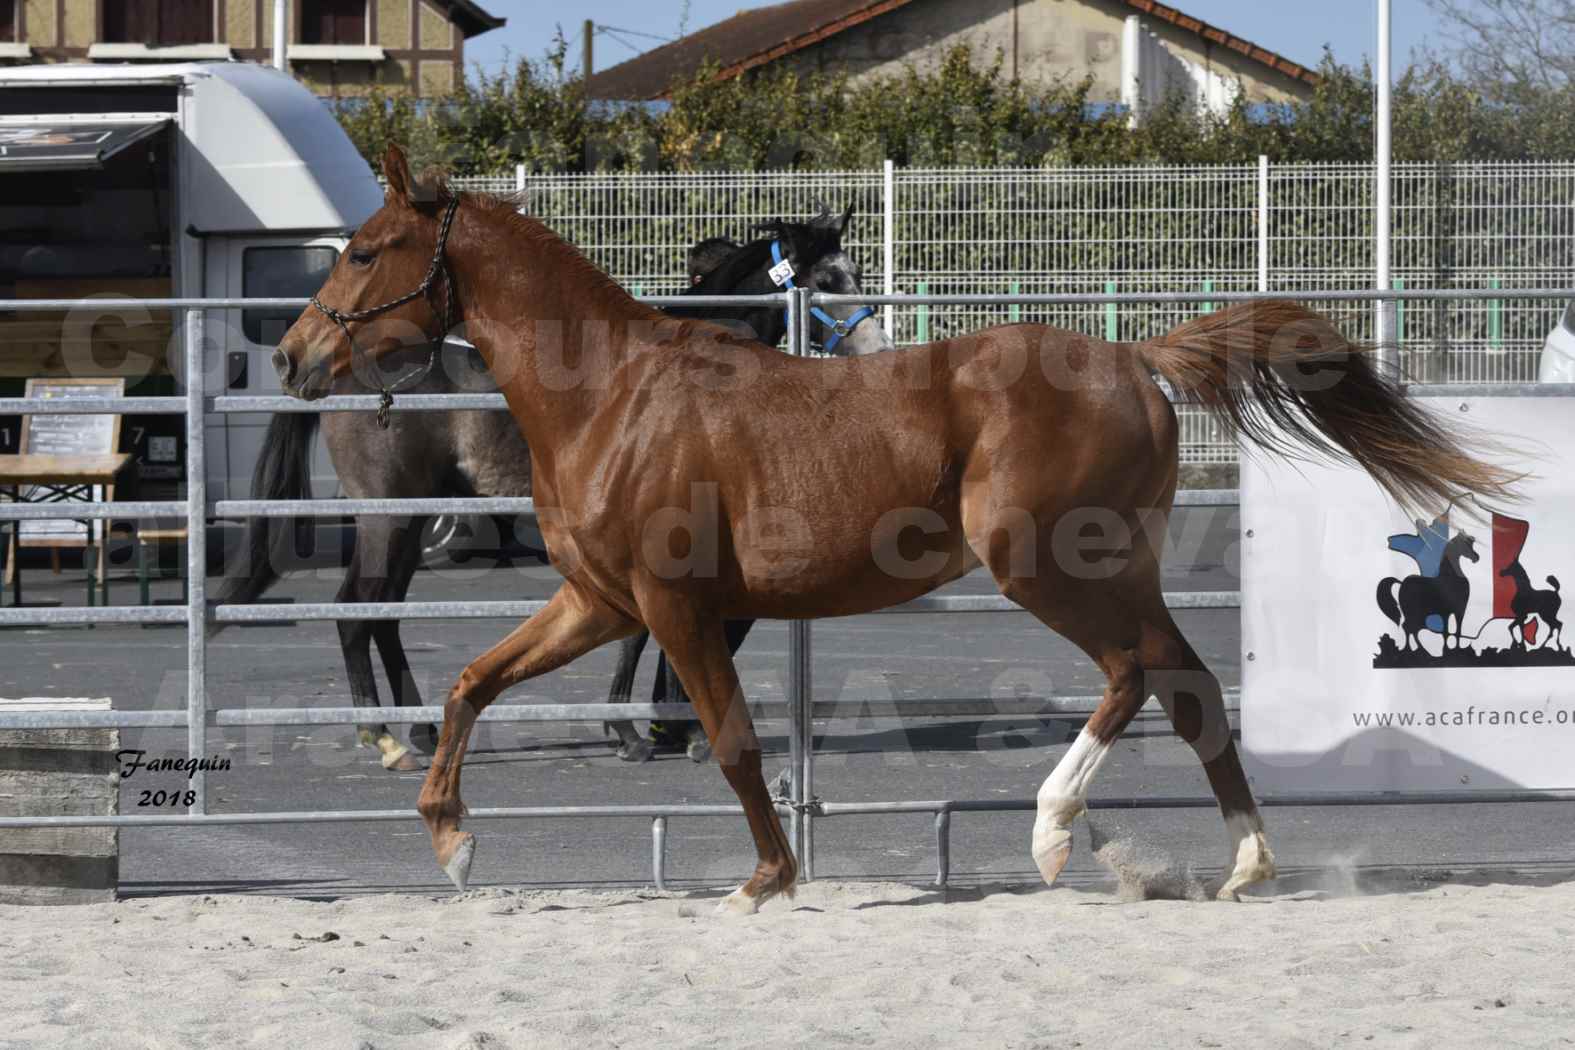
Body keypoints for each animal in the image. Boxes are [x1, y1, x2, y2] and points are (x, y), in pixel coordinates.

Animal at [215, 209, 894, 771]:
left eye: (855, 272)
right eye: (828, 278)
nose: (877, 348)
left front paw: (663, 725)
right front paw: (644, 729)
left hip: (415, 516)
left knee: (384, 616)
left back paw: (421, 730)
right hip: (391, 516)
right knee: (356, 611)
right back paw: (383, 737)